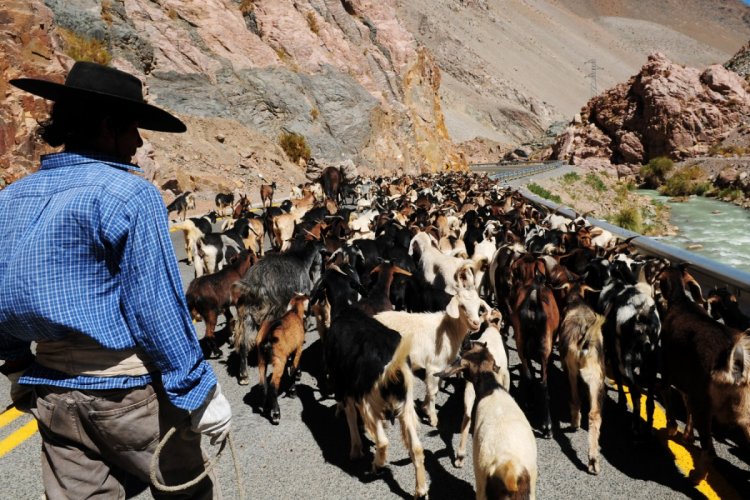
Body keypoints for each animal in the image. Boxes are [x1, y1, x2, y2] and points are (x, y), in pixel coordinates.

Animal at [256, 292, 308, 426]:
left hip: (261, 360)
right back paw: (275, 414)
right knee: (272, 387)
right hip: (279, 361)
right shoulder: (298, 348)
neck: (294, 312)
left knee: (263, 385)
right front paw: (293, 391)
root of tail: (267, 336)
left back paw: (266, 408)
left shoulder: (289, 351)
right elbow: (293, 368)